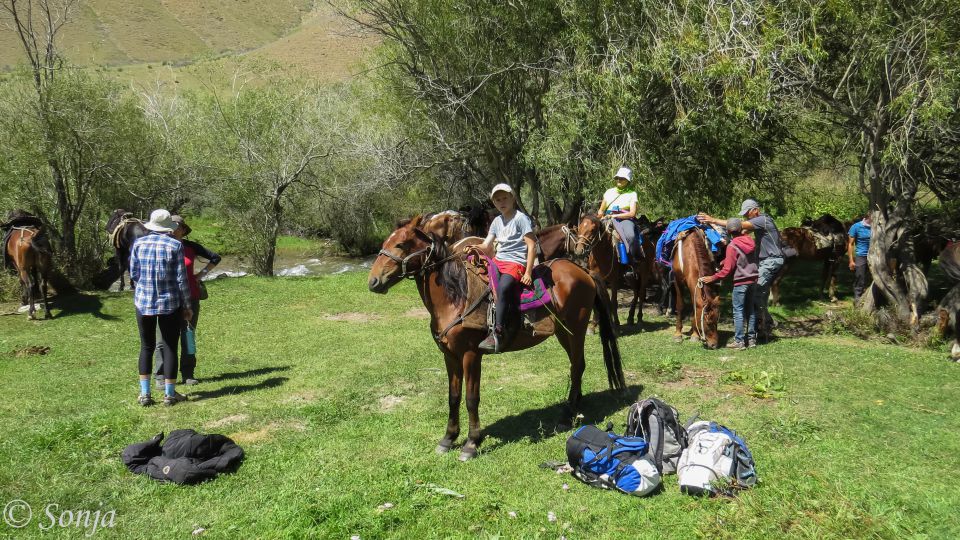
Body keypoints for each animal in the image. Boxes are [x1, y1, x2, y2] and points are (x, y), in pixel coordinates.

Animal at [364, 215, 628, 460]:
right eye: (386, 242)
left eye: (401, 244)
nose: (373, 281)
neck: (455, 297)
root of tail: (584, 272)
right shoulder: (450, 356)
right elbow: (453, 397)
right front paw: (448, 438)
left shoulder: (471, 355)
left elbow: (471, 398)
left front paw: (471, 443)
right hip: (564, 333)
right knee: (576, 366)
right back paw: (573, 407)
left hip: (576, 330)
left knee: (577, 366)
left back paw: (567, 414)